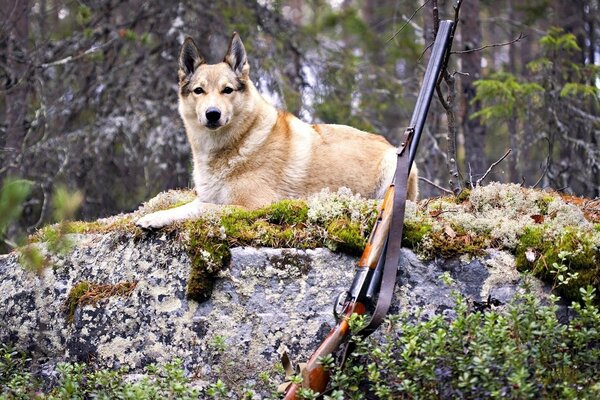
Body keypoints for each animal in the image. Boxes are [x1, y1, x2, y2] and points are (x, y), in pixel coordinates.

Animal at [136, 32, 418, 230]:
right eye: (199, 91)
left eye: (227, 90)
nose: (212, 114)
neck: (238, 143)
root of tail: (388, 143)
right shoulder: (206, 196)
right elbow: (185, 207)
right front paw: (154, 217)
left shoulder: (250, 207)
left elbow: (205, 210)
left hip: (392, 166)